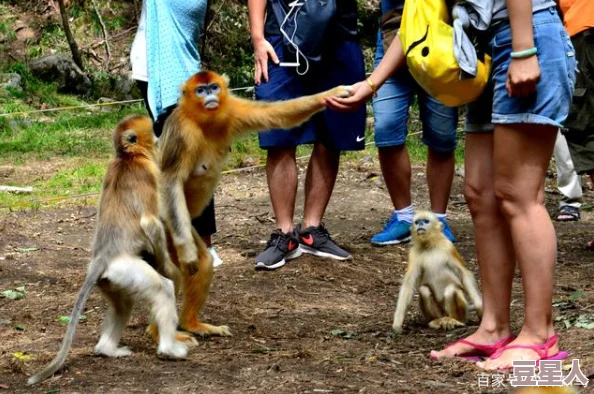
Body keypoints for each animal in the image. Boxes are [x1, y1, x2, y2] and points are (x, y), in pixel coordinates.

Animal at [157, 71, 352, 336]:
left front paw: (333, 93)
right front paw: (187, 252)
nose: (209, 96)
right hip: (167, 222)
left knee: (202, 264)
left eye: (213, 87)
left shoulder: (232, 110)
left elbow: (277, 114)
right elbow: (171, 180)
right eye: (200, 90)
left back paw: (191, 325)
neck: (204, 121)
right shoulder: (181, 130)